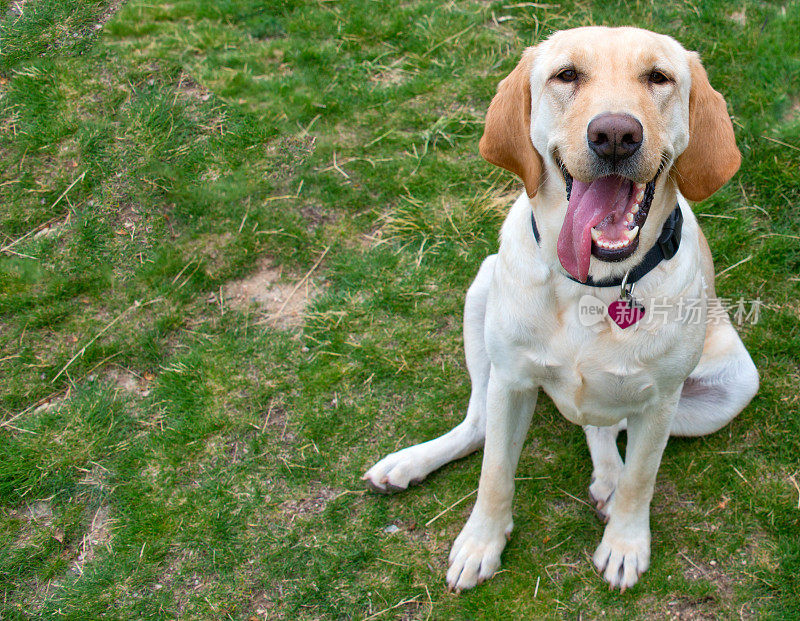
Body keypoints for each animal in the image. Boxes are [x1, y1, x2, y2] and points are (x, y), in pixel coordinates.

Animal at [362, 27, 756, 592]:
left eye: (658, 77)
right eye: (566, 75)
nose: (615, 135)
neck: (593, 284)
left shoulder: (661, 401)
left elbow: (641, 478)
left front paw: (625, 543)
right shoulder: (510, 380)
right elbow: (495, 474)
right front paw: (481, 543)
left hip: (734, 386)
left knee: (606, 428)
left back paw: (608, 480)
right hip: (481, 293)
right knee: (481, 425)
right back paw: (408, 463)